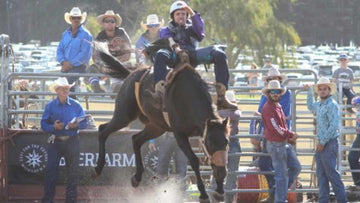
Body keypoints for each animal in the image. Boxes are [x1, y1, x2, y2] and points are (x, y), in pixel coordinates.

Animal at [94, 44, 229, 203]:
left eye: (226, 142)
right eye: (210, 143)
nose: (222, 173)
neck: (189, 98)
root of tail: (131, 75)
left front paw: (219, 191)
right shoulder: (180, 135)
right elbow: (194, 160)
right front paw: (203, 194)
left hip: (156, 127)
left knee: (136, 139)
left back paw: (137, 178)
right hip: (124, 115)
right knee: (103, 130)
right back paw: (98, 167)